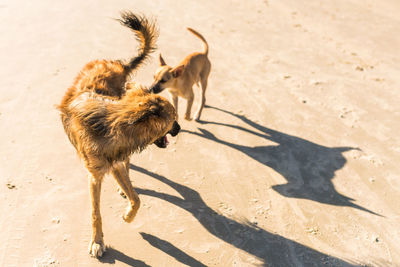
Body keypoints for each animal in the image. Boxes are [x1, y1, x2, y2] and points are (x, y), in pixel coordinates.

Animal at [57, 11, 180, 258]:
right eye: (173, 120)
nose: (180, 128)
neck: (114, 124)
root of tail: (117, 63)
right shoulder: (96, 175)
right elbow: (96, 213)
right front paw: (97, 241)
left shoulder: (115, 162)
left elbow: (137, 198)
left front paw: (128, 215)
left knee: (128, 167)